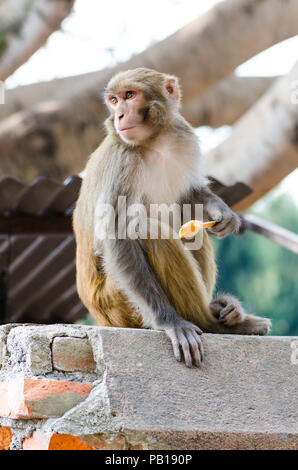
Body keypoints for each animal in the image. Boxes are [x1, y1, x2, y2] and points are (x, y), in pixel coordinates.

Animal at [73, 68, 272, 368]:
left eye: (129, 95)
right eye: (114, 100)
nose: (119, 115)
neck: (154, 142)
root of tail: (99, 315)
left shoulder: (183, 135)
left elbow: (189, 195)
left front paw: (223, 213)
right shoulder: (123, 160)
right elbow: (118, 235)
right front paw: (170, 322)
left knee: (189, 228)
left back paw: (219, 310)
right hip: (118, 303)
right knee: (144, 228)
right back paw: (213, 323)